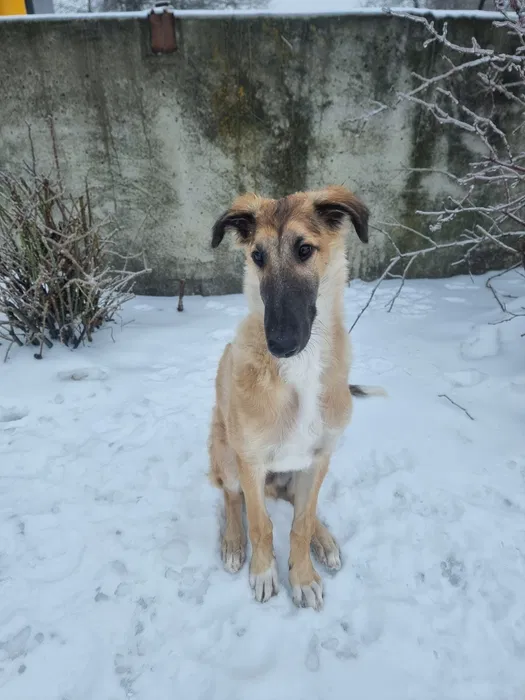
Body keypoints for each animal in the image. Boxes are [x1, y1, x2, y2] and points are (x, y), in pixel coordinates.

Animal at [208, 185, 376, 610]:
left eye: (304, 249)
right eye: (257, 257)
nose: (280, 343)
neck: (300, 371)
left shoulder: (318, 458)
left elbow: (299, 524)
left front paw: (301, 577)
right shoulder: (250, 461)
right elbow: (261, 524)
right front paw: (264, 573)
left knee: (302, 508)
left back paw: (324, 539)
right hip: (225, 452)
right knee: (232, 498)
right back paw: (233, 543)